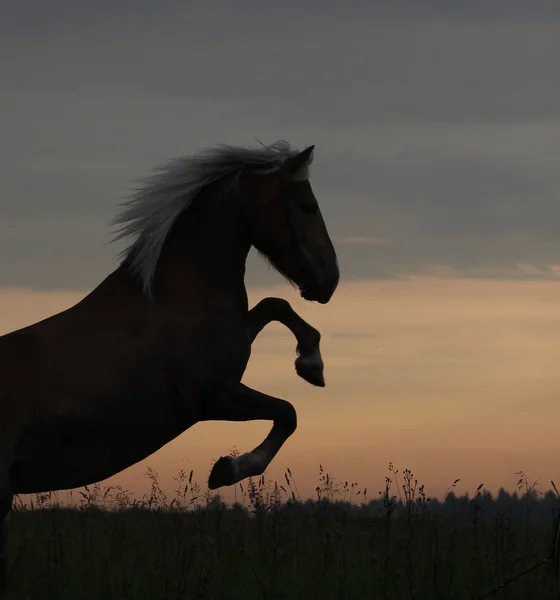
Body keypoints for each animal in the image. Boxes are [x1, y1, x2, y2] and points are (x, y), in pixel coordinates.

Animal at [0, 143, 340, 588]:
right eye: (307, 206)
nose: (330, 280)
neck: (178, 293)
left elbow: (273, 306)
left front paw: (311, 363)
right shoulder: (213, 397)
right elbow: (288, 412)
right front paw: (227, 470)